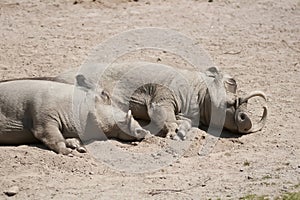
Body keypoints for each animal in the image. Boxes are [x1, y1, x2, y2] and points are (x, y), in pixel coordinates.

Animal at [0, 75, 149, 155]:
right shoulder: (42, 117)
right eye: (105, 94)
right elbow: (50, 136)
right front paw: (69, 153)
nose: (144, 131)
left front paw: (79, 148)